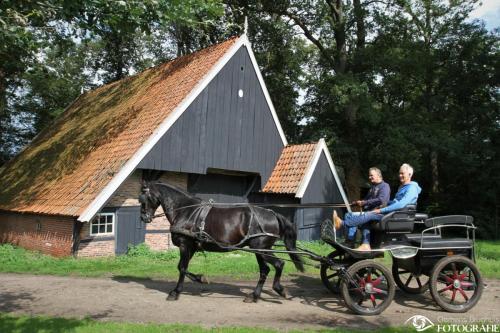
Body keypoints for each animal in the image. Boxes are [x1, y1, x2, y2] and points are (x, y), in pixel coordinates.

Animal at [139, 180, 306, 302]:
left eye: (143, 197)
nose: (144, 217)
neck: (185, 210)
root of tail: (273, 214)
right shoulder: (192, 247)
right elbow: (182, 267)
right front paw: (200, 279)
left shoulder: (185, 245)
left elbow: (181, 268)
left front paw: (177, 291)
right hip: (260, 250)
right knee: (265, 270)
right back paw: (254, 296)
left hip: (261, 249)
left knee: (279, 264)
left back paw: (279, 290)